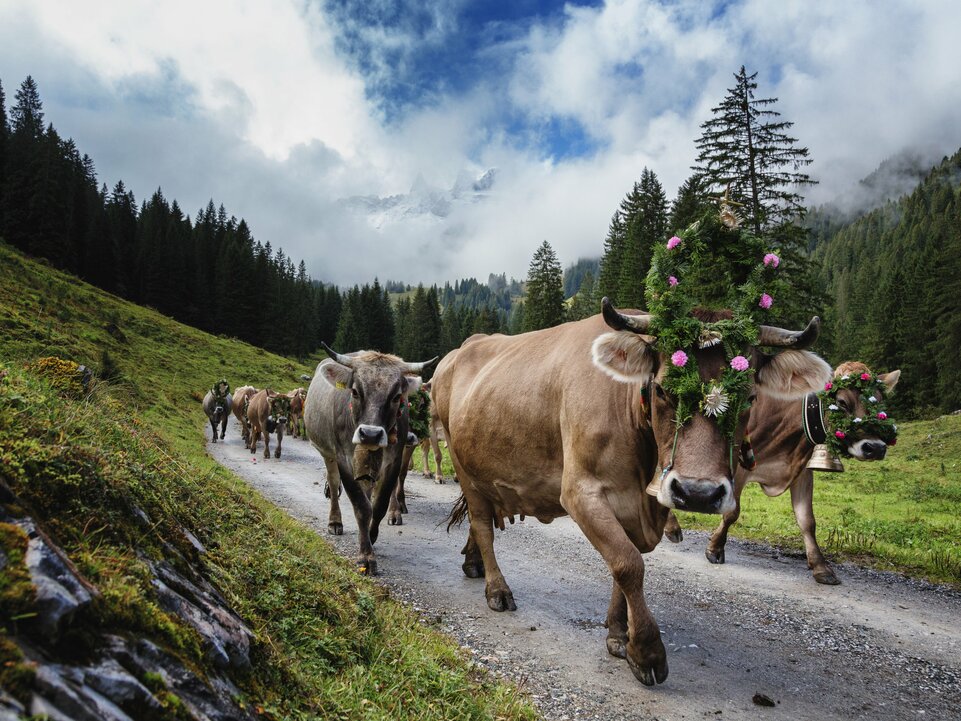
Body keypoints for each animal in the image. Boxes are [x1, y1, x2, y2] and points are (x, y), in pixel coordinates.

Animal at [304, 346, 436, 576]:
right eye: (355, 391)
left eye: (397, 397)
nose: (371, 434)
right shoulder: (343, 459)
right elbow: (361, 506)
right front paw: (366, 556)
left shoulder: (393, 461)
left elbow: (378, 505)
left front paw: (371, 537)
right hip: (327, 453)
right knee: (333, 483)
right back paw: (335, 521)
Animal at [668, 358, 900, 584]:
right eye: (842, 402)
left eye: (880, 402)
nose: (875, 447)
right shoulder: (738, 467)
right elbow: (732, 512)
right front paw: (715, 548)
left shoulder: (802, 472)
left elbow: (807, 520)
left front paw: (821, 566)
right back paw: (672, 529)